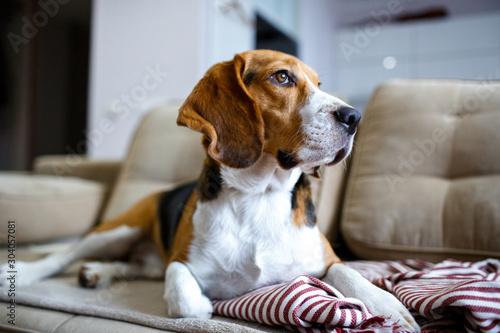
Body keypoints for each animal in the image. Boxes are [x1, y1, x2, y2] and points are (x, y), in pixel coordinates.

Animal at [1, 49, 420, 330]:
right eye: (283, 78)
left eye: (319, 85)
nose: (354, 117)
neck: (260, 196)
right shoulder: (180, 261)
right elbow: (183, 293)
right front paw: (204, 306)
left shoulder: (325, 259)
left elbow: (348, 274)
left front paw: (389, 306)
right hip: (120, 227)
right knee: (63, 256)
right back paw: (29, 273)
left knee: (135, 266)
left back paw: (99, 273)